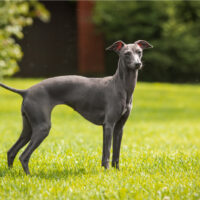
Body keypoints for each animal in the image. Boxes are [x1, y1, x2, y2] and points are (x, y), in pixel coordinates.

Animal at [0, 39, 153, 174]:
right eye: (127, 53)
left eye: (139, 52)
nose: (138, 64)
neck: (120, 86)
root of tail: (26, 91)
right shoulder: (109, 125)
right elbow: (107, 152)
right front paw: (107, 171)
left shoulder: (119, 128)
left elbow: (116, 153)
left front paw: (117, 171)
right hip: (42, 127)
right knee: (23, 156)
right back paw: (29, 176)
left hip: (29, 128)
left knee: (12, 152)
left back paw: (12, 172)